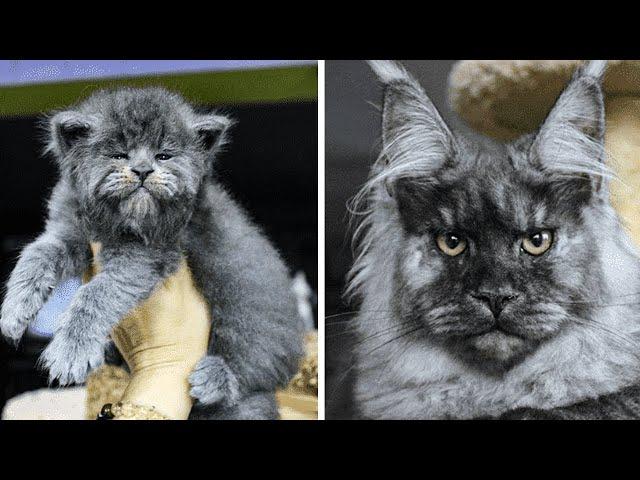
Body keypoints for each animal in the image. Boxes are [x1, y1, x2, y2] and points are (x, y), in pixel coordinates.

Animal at [0, 87, 304, 420]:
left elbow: (95, 293)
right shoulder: (68, 231)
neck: (117, 223)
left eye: (164, 155)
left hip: (251, 331)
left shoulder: (147, 256)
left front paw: (70, 351)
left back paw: (214, 377)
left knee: (249, 373)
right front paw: (13, 312)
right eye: (119, 154)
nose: (143, 170)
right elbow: (35, 255)